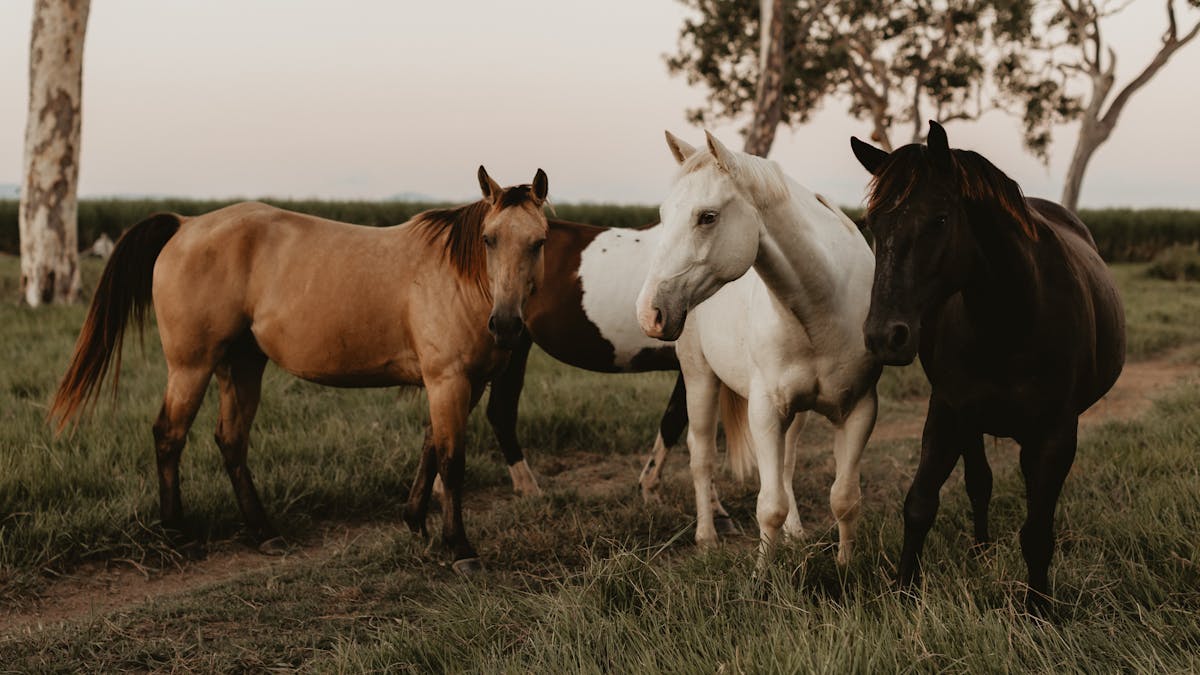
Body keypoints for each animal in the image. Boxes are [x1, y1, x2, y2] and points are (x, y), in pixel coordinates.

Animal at [50, 167, 550, 574]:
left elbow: (430, 447)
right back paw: (179, 535)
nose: (507, 324)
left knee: (231, 441)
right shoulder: (448, 380)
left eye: (539, 241)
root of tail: (185, 225)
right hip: (191, 366)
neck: (455, 276)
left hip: (241, 365)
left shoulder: (466, 383)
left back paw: (263, 532)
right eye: (488, 239)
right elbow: (451, 459)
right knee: (169, 436)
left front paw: (415, 521)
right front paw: (459, 547)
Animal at [637, 131, 880, 571]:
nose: (649, 313)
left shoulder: (859, 409)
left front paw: (846, 567)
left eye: (708, 217)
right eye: (663, 214)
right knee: (702, 456)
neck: (821, 306)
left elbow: (844, 498)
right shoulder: (765, 412)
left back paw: (796, 533)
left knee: (786, 464)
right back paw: (706, 536)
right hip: (699, 378)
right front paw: (763, 575)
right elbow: (769, 505)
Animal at [851, 120, 1125, 604]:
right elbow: (920, 504)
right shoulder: (948, 411)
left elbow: (1037, 531)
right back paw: (979, 551)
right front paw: (903, 593)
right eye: (871, 223)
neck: (1011, 319)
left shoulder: (1056, 432)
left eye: (940, 219)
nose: (885, 336)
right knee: (980, 483)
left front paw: (1038, 608)